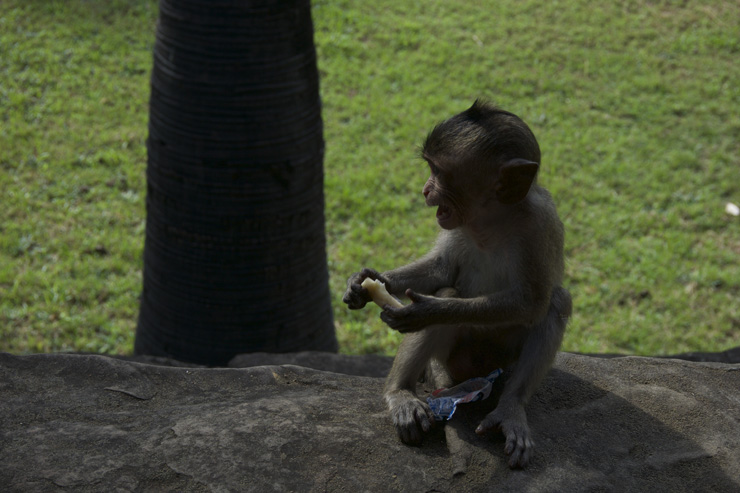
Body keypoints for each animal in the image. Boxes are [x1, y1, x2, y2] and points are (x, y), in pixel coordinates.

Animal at [342, 101, 572, 468]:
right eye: (430, 168)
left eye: (440, 172)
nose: (425, 189)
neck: (491, 222)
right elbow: (442, 272)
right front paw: (364, 282)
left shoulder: (541, 225)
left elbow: (532, 302)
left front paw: (427, 311)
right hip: (451, 359)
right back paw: (400, 393)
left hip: (501, 362)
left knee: (556, 302)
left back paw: (510, 408)